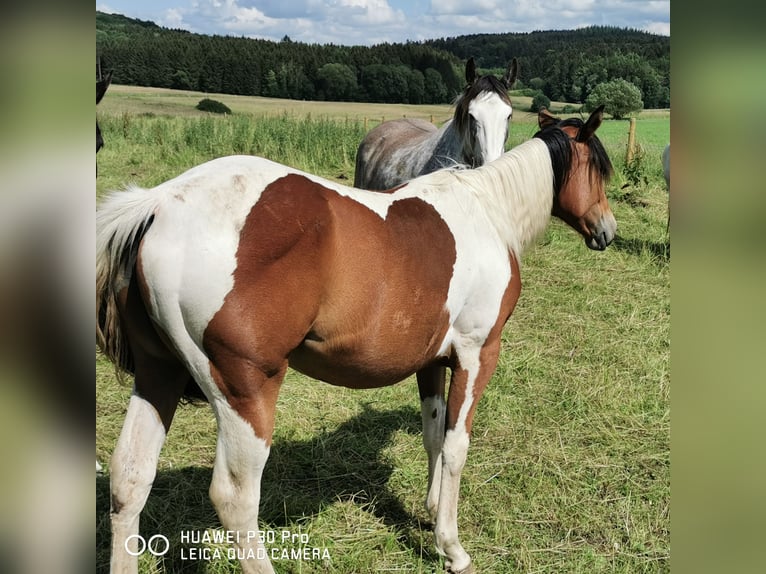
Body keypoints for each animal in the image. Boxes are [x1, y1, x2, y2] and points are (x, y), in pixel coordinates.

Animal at [97, 106, 616, 572]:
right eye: (598, 169)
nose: (607, 231)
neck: (487, 212)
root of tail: (161, 203)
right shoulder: (476, 355)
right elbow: (455, 446)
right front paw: (452, 547)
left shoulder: (431, 360)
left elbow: (432, 433)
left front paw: (430, 515)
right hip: (245, 390)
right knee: (235, 497)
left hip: (158, 375)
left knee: (129, 479)